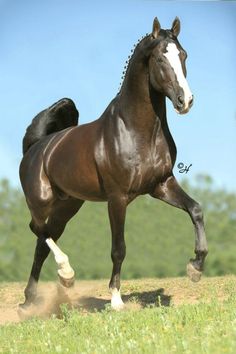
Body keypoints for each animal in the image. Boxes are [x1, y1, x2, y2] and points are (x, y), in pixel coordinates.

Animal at [20, 17, 208, 310]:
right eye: (159, 58)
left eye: (183, 55)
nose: (185, 101)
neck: (135, 130)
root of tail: (36, 147)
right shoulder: (117, 197)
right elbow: (118, 248)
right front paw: (117, 300)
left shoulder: (161, 185)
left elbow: (196, 210)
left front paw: (195, 268)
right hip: (40, 201)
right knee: (38, 230)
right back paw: (66, 274)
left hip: (68, 205)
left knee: (43, 240)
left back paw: (32, 299)